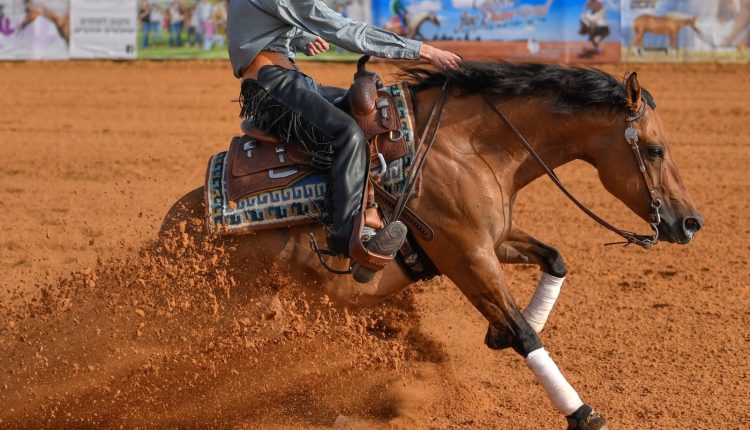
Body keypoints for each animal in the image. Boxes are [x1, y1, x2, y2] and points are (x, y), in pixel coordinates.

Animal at [160, 62, 704, 428]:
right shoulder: (466, 254)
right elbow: (526, 335)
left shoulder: (493, 239)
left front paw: (500, 332)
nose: (690, 222)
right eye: (655, 149)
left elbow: (556, 259)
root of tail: (170, 232)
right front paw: (582, 412)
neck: (470, 147)